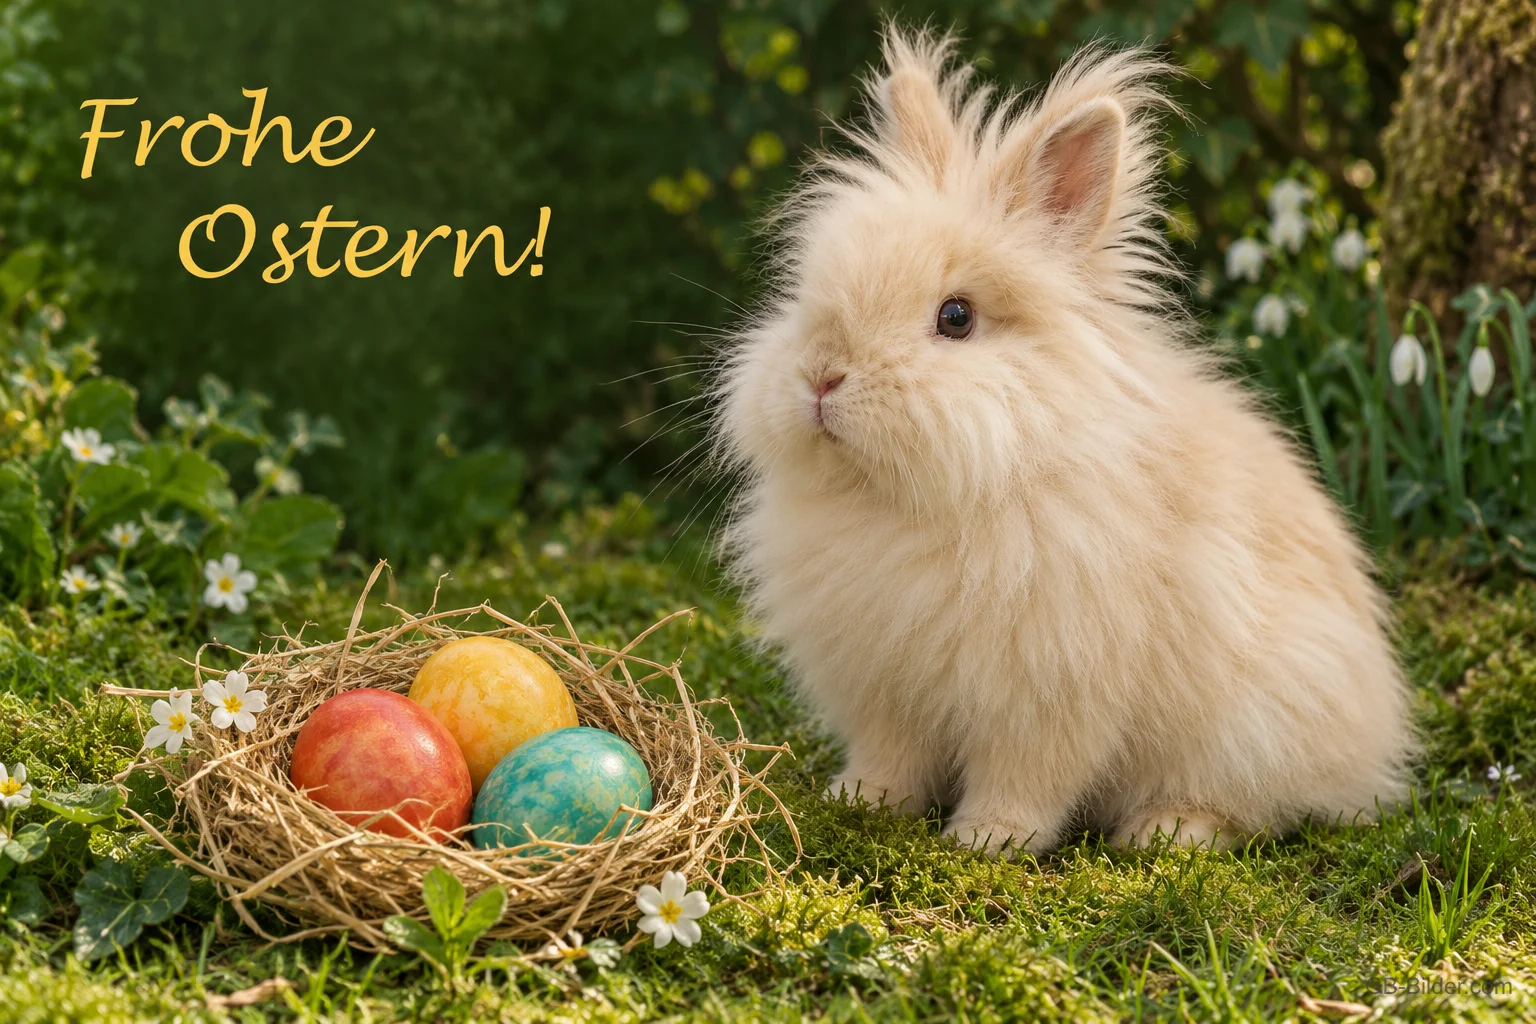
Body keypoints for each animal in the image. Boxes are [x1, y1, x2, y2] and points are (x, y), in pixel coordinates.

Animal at [708, 27, 1417, 855]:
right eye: (807, 296)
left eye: (956, 317)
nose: (822, 378)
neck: (910, 502)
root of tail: (1377, 741)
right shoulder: (886, 686)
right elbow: (891, 754)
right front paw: (861, 800)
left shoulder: (1051, 692)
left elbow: (1032, 775)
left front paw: (987, 839)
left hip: (1262, 721)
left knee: (1253, 806)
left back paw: (1167, 832)